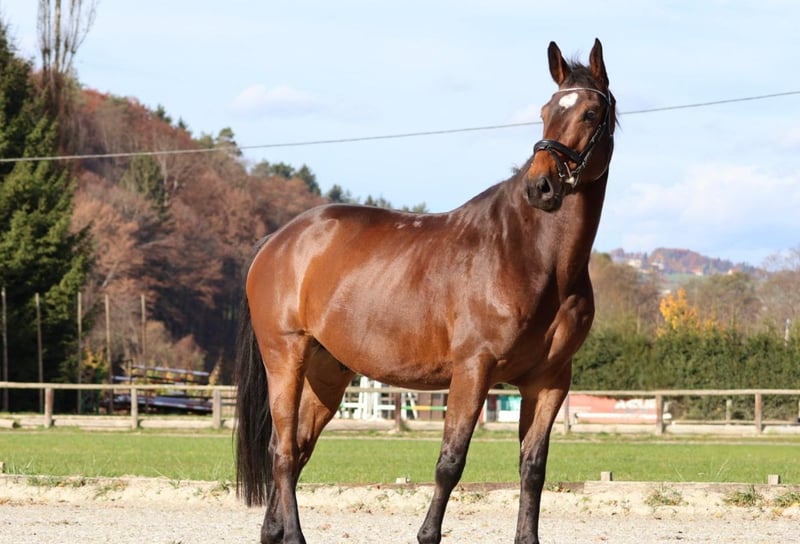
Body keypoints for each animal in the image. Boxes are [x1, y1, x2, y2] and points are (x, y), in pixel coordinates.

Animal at [235, 38, 616, 544]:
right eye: (545, 111)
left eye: (591, 113)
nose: (541, 186)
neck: (534, 257)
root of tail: (279, 241)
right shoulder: (473, 370)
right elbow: (450, 463)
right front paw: (427, 534)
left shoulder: (550, 380)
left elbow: (533, 469)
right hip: (286, 358)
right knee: (281, 451)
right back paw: (294, 536)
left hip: (327, 370)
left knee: (296, 448)